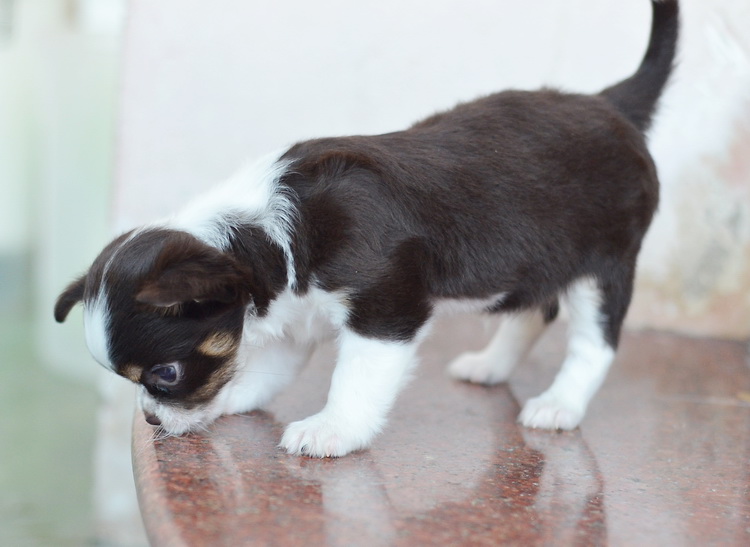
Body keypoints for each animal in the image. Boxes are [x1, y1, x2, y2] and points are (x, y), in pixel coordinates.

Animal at [55, 0, 679, 457]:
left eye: (165, 373)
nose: (150, 420)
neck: (262, 234)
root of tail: (610, 103)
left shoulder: (386, 313)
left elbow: (354, 380)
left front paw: (332, 430)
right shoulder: (297, 315)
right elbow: (272, 368)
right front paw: (239, 397)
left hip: (604, 267)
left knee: (594, 342)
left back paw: (559, 404)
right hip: (536, 259)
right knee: (535, 309)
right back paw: (491, 365)